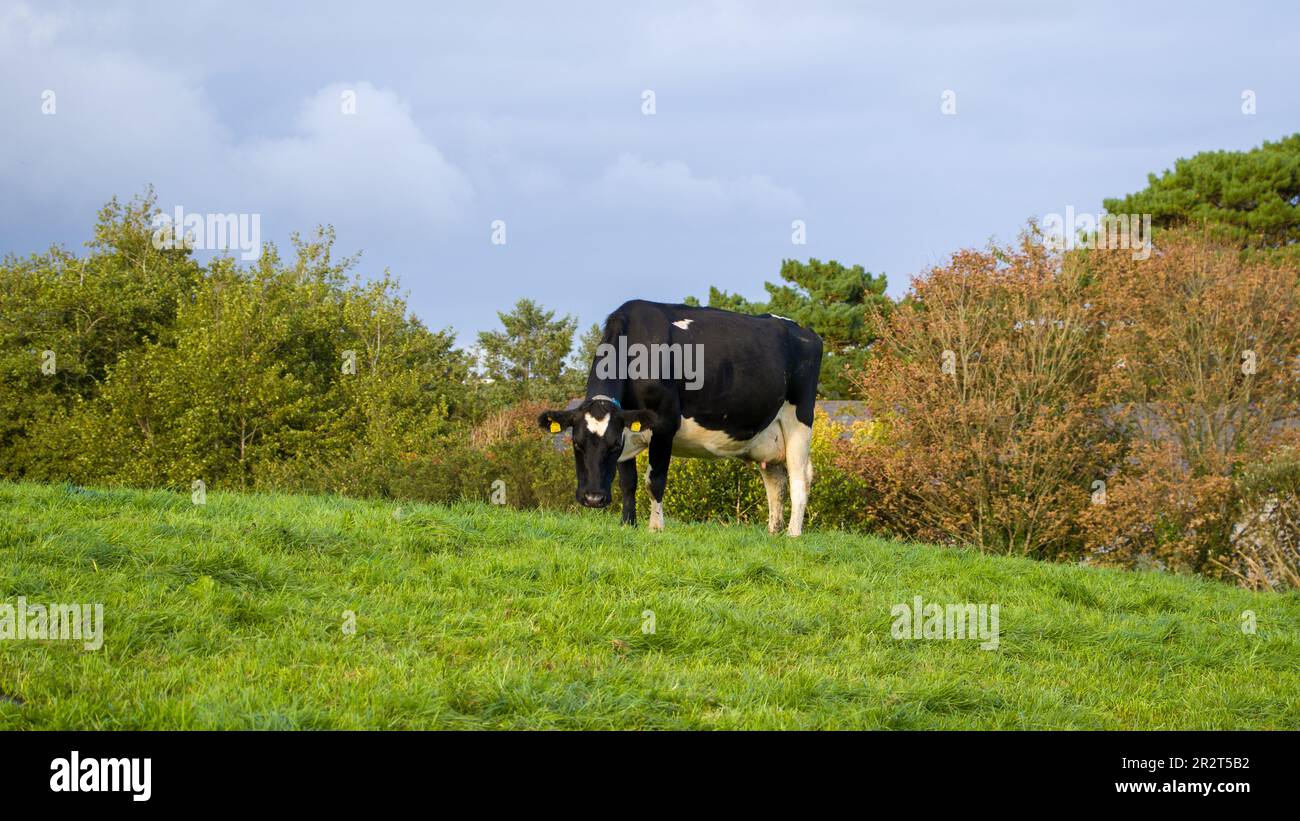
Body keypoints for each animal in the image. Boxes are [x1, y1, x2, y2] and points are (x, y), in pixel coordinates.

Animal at [537, 299, 823, 536]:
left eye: (612, 446)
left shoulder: (664, 424)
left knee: (799, 478)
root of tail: (807, 332)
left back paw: (793, 534)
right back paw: (773, 533)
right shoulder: (627, 427)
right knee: (776, 482)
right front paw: (627, 525)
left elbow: (654, 481)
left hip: (799, 421)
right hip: (767, 436)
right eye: (577, 444)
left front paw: (655, 527)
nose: (594, 499)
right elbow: (628, 482)